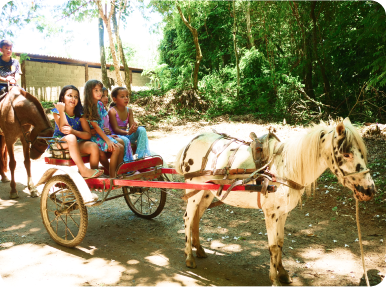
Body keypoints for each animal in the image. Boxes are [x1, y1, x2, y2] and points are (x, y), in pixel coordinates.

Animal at [174, 118, 374, 286]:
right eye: (346, 154)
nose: (370, 190)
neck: (285, 168)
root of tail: (192, 140)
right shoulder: (271, 213)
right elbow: (272, 246)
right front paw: (275, 279)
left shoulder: (283, 213)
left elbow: (280, 243)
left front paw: (283, 273)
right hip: (194, 191)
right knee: (188, 218)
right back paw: (189, 257)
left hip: (206, 194)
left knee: (196, 218)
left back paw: (199, 250)